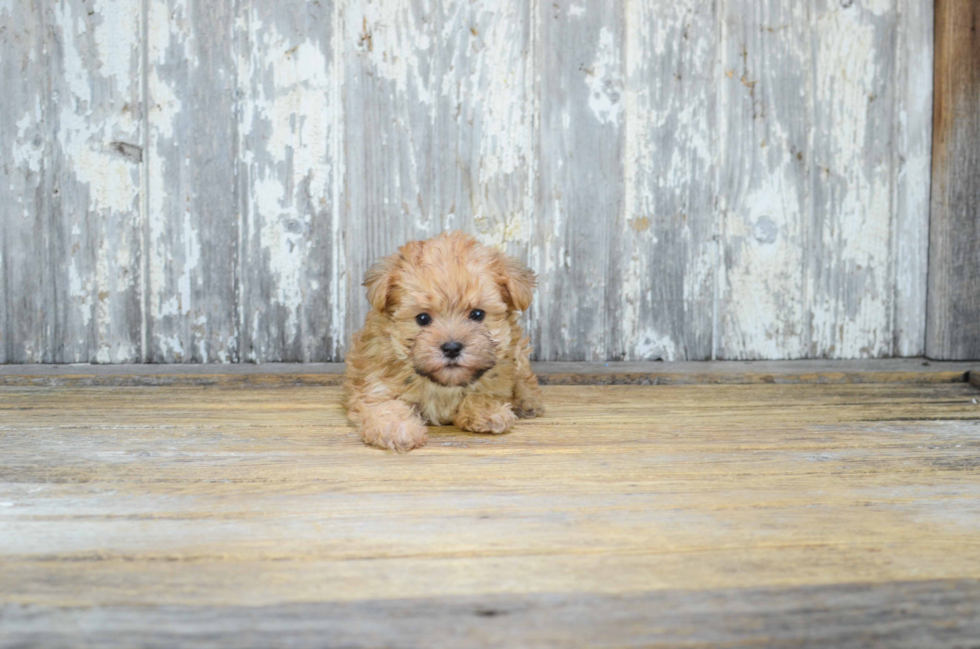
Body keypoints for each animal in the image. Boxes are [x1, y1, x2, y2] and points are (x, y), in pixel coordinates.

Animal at [344, 232, 544, 450]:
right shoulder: (375, 385)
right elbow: (386, 405)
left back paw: (527, 401)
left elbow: (481, 395)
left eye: (477, 314)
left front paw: (488, 412)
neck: (443, 385)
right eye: (423, 318)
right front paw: (397, 428)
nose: (451, 348)